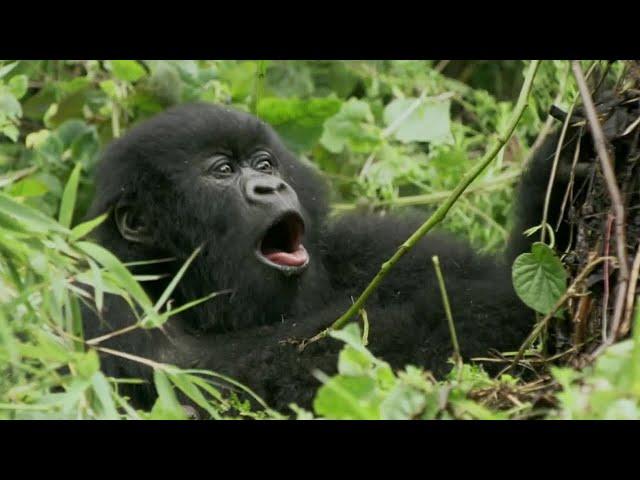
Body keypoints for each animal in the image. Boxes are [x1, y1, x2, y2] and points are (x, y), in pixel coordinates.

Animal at [82, 102, 576, 412]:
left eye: (264, 164)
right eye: (222, 171)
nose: (271, 187)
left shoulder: (366, 243)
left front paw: (561, 168)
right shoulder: (105, 299)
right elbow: (232, 384)